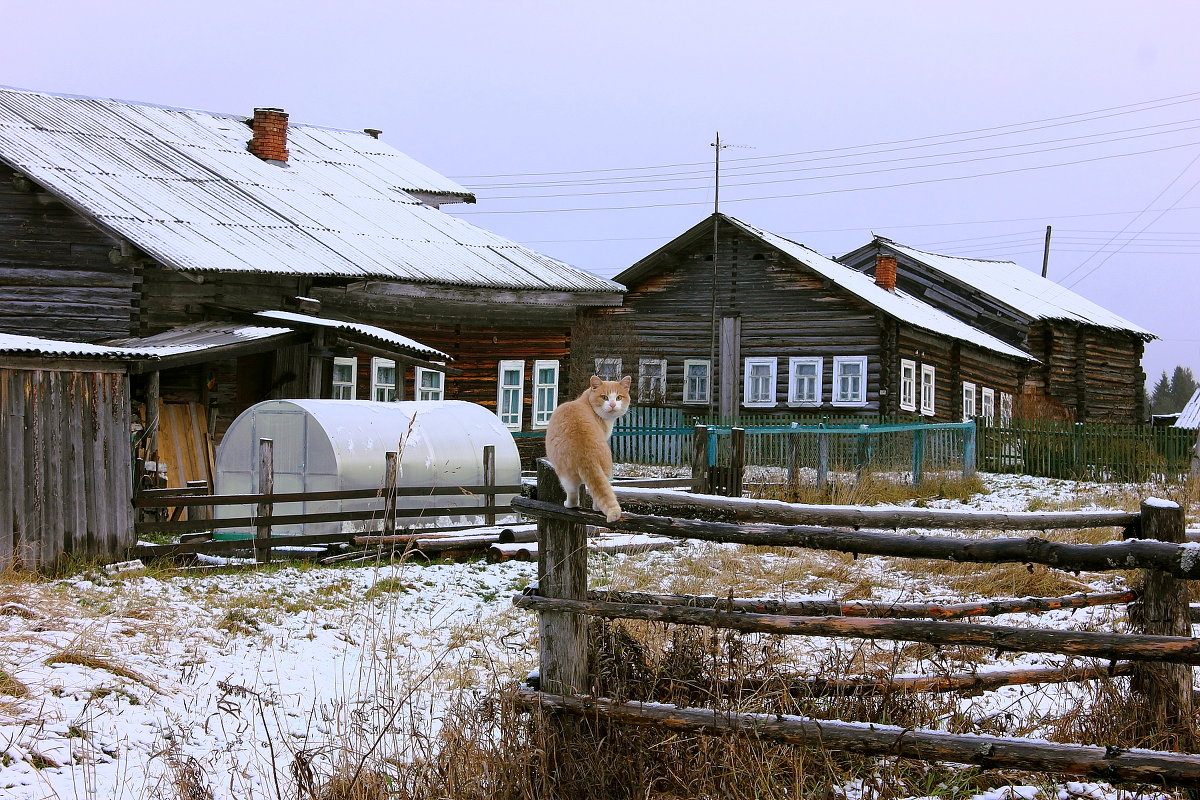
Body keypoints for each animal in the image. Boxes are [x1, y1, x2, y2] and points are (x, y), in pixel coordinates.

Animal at [547, 376, 633, 525]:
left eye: (618, 397)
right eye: (604, 397)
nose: (612, 405)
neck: (585, 402)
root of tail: (587, 454)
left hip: (564, 475)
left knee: (573, 494)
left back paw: (569, 505)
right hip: (603, 472)